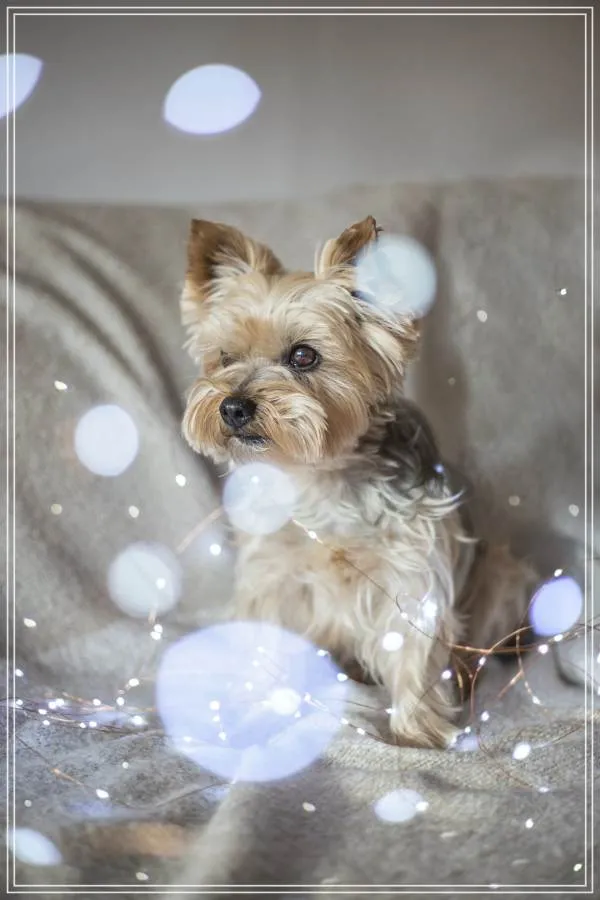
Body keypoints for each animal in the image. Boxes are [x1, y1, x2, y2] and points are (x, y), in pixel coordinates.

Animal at [179, 215, 537, 748]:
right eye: (224, 357)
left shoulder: (411, 567)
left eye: (303, 356)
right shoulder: (273, 573)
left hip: (503, 575)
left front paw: (418, 733)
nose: (233, 407)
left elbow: (413, 648)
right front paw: (260, 708)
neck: (319, 473)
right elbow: (270, 636)